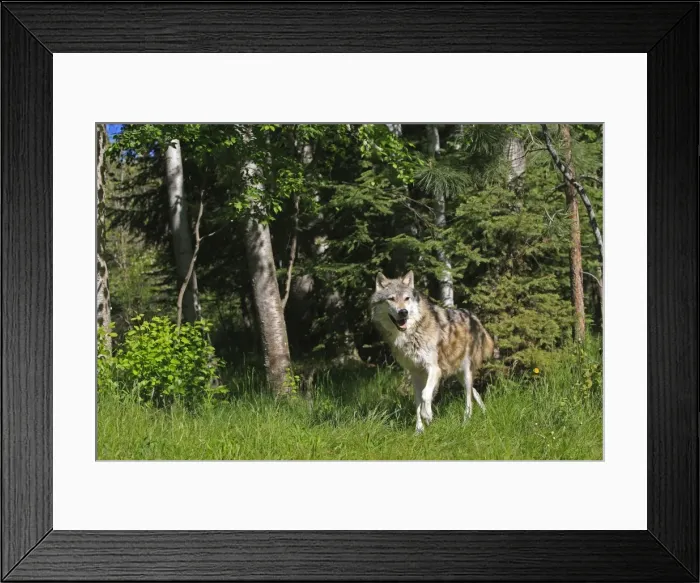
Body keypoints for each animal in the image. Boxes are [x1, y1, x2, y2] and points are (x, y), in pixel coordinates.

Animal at [371, 271, 498, 434]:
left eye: (406, 298)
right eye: (391, 299)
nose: (403, 312)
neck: (412, 333)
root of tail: (474, 318)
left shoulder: (434, 369)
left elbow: (425, 395)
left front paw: (428, 415)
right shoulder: (415, 372)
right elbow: (418, 401)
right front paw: (419, 430)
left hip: (466, 373)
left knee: (468, 399)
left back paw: (465, 422)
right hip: (459, 374)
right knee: (474, 392)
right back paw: (484, 414)